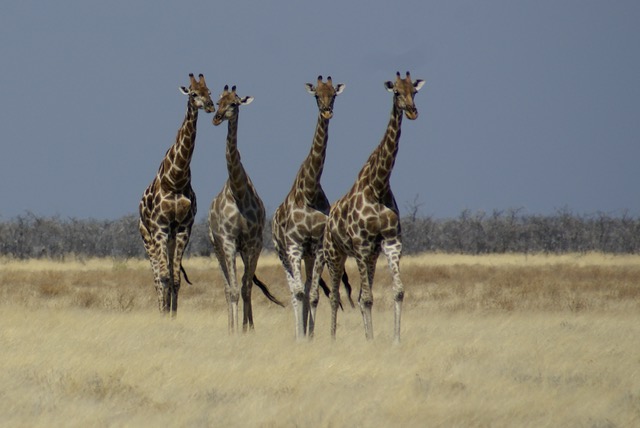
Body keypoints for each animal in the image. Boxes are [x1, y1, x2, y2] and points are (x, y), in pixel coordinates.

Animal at [139, 72, 215, 314]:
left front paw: (173, 315)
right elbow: (164, 277)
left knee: (171, 274)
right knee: (156, 277)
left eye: (209, 91)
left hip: (170, 238)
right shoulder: (160, 227)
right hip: (148, 237)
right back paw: (160, 309)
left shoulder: (182, 227)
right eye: (193, 93)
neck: (176, 178)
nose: (210, 106)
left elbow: (175, 279)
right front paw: (165, 314)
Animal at [209, 84, 284, 334]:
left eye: (234, 103)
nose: (216, 118)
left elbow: (246, 287)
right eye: (218, 101)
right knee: (226, 287)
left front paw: (248, 328)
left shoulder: (254, 243)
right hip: (217, 246)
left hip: (243, 249)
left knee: (244, 284)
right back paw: (230, 327)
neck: (238, 191)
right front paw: (235, 331)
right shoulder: (228, 241)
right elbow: (233, 289)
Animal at [322, 72, 422, 342]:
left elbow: (398, 291)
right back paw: (332, 338)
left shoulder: (390, 242)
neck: (378, 185)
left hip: (370, 257)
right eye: (396, 92)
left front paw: (394, 339)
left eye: (414, 91)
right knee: (335, 296)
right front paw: (372, 340)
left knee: (356, 296)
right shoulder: (361, 244)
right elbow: (366, 298)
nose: (412, 111)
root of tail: (328, 219)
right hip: (335, 253)